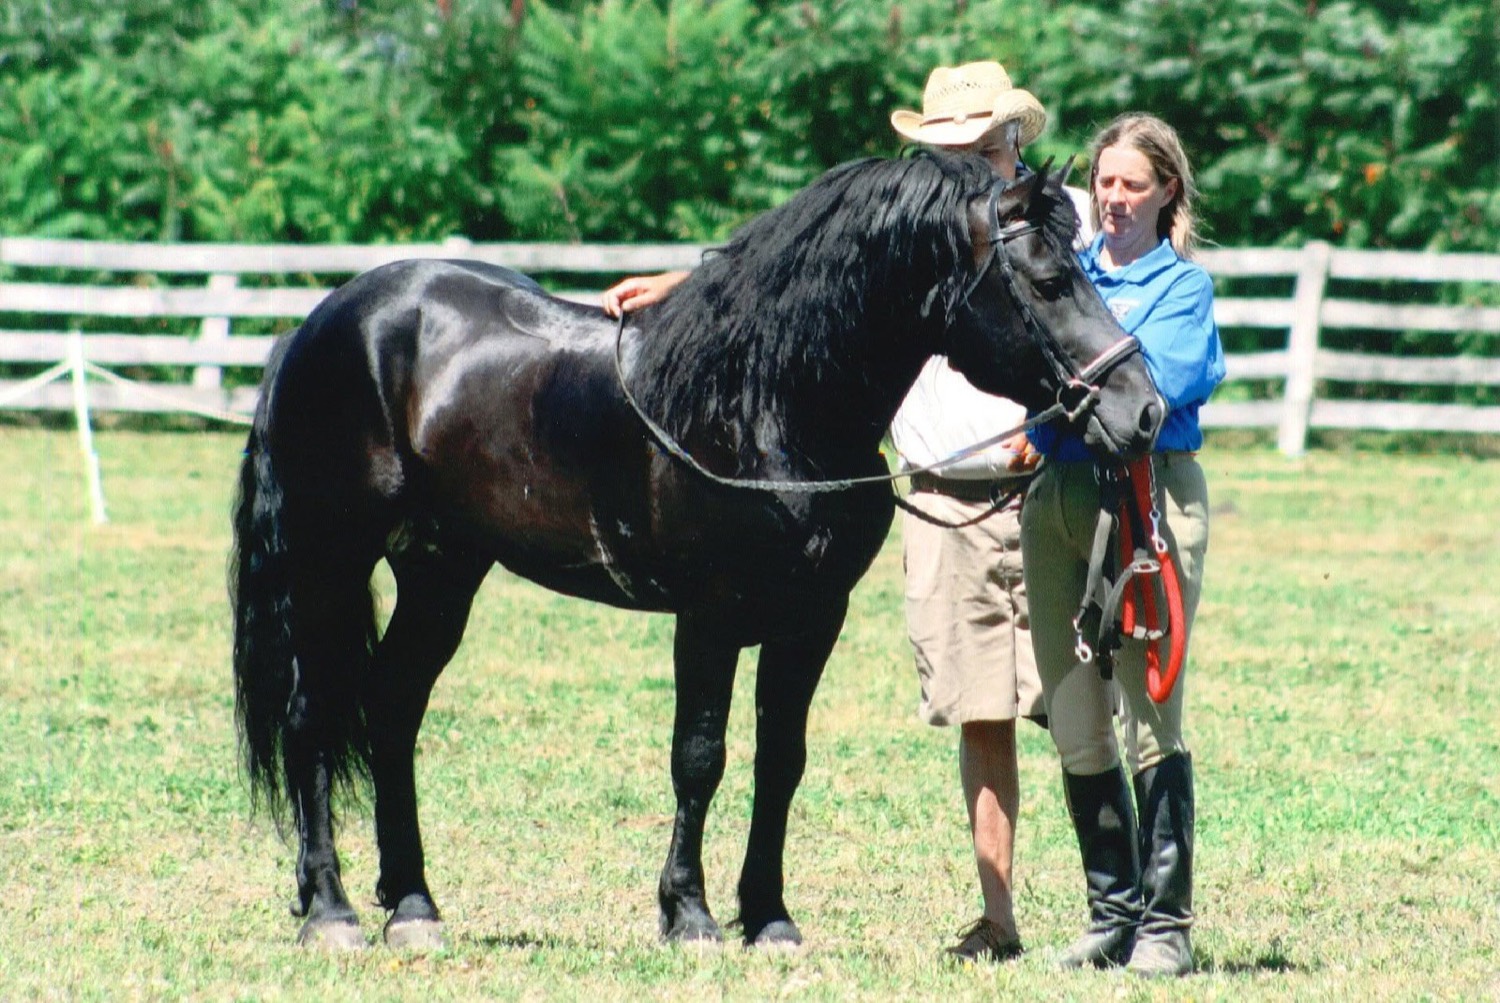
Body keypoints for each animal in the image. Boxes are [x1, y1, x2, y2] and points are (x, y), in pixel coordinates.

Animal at [230, 151, 1164, 952]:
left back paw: (414, 905)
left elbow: (780, 760)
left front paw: (770, 915)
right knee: (311, 715)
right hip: (328, 563)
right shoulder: (709, 616)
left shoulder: (811, 619)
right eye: (1049, 281)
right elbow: (700, 756)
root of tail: (323, 323)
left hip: (441, 572)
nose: (1142, 410)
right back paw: (332, 908)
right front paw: (690, 913)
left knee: (392, 706)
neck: (761, 401)